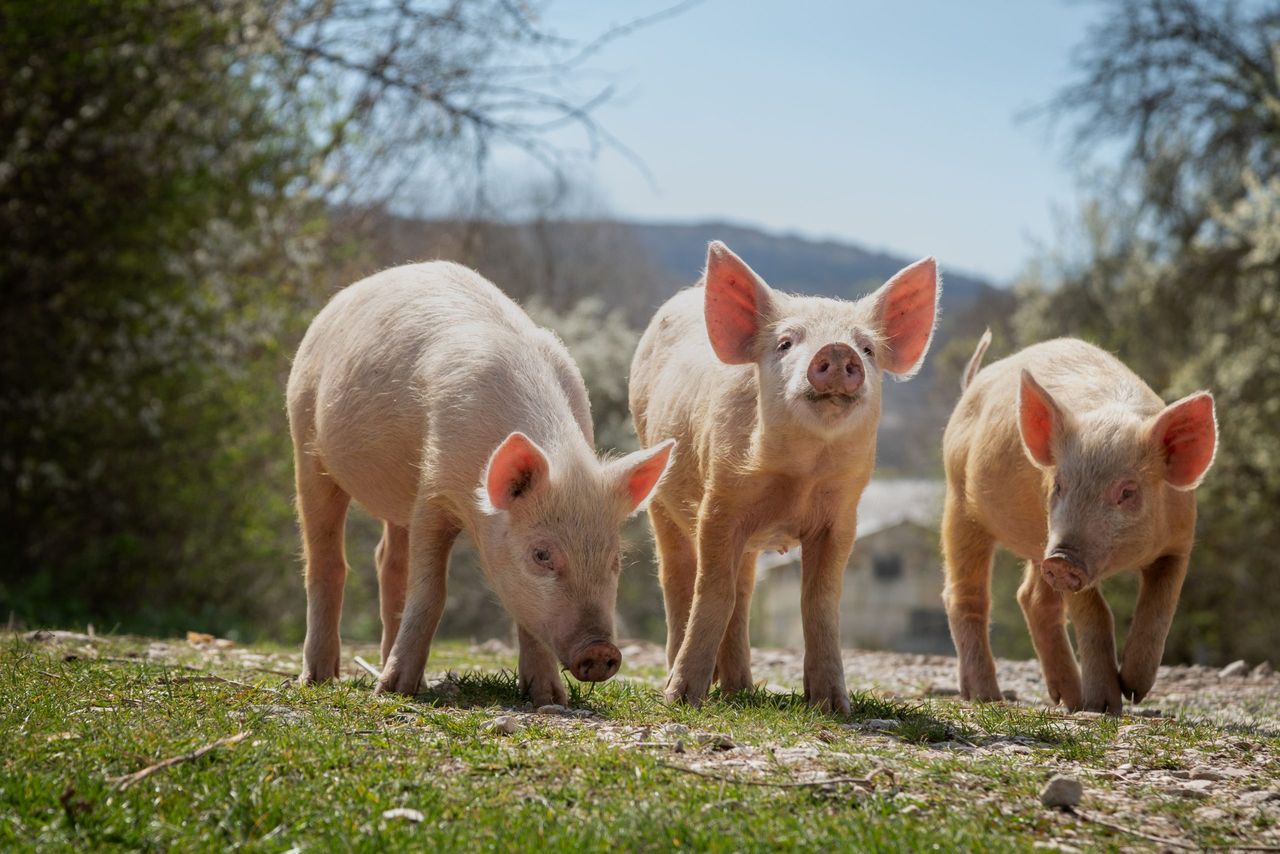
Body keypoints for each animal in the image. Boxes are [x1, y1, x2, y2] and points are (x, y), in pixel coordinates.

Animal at [287, 262, 676, 703]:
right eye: (541, 555)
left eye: (615, 560)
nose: (601, 651)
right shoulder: (433, 490)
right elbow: (431, 593)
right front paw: (395, 691)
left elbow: (523, 614)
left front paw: (549, 698)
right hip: (305, 434)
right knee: (327, 559)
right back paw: (321, 678)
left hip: (396, 497)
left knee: (388, 562)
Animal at [629, 241, 940, 712]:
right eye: (786, 342)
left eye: (867, 348)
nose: (837, 350)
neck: (800, 477)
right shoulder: (718, 505)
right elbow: (712, 592)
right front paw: (682, 699)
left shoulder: (842, 520)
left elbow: (820, 602)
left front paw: (832, 705)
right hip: (661, 501)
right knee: (678, 580)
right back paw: (693, 684)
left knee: (743, 591)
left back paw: (740, 689)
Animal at [942, 333, 1217, 713]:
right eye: (1059, 484)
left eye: (1127, 491)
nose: (1061, 559)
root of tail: (974, 382)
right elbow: (1096, 612)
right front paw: (1104, 706)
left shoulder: (1179, 542)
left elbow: (1160, 607)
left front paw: (1135, 689)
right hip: (960, 501)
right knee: (965, 595)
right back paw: (988, 697)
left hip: (1036, 540)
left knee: (1031, 599)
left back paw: (1069, 700)